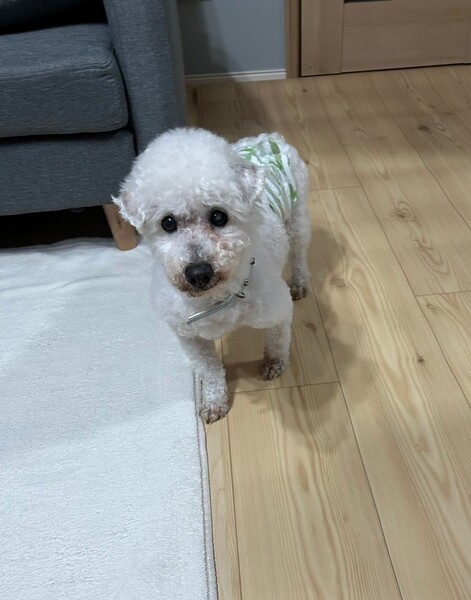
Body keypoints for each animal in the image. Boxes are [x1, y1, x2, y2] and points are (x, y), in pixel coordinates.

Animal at [114, 128, 311, 423]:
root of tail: (268, 137)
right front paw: (214, 401)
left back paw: (299, 282)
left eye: (219, 216)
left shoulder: (277, 311)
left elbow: (277, 343)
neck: (215, 299)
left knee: (299, 254)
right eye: (167, 222)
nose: (198, 272)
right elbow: (210, 369)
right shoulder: (189, 337)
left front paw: (274, 365)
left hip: (297, 219)